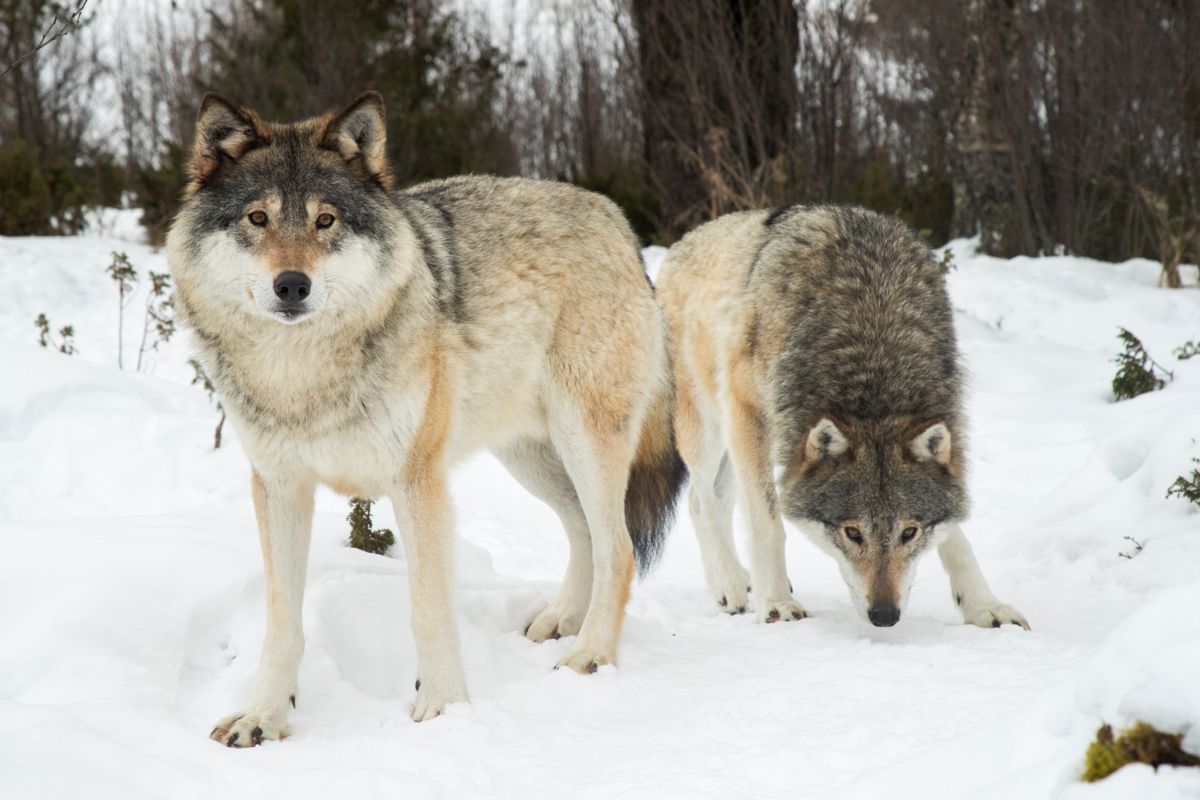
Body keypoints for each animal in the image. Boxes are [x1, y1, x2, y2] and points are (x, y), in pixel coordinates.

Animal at [166, 92, 686, 743]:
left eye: (326, 221)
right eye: (257, 219)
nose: (291, 285)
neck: (302, 373)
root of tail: (616, 221)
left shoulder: (418, 484)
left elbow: (429, 611)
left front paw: (443, 711)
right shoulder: (280, 486)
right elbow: (283, 621)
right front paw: (264, 716)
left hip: (583, 442)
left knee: (620, 547)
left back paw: (590, 654)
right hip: (532, 460)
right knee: (586, 532)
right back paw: (563, 621)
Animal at [657, 205, 1032, 633]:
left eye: (909, 532)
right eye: (852, 532)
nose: (884, 616)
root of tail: (683, 242)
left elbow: (957, 537)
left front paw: (984, 605)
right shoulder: (747, 413)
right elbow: (768, 524)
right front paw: (777, 604)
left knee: (718, 499)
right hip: (710, 431)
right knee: (699, 501)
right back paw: (730, 584)